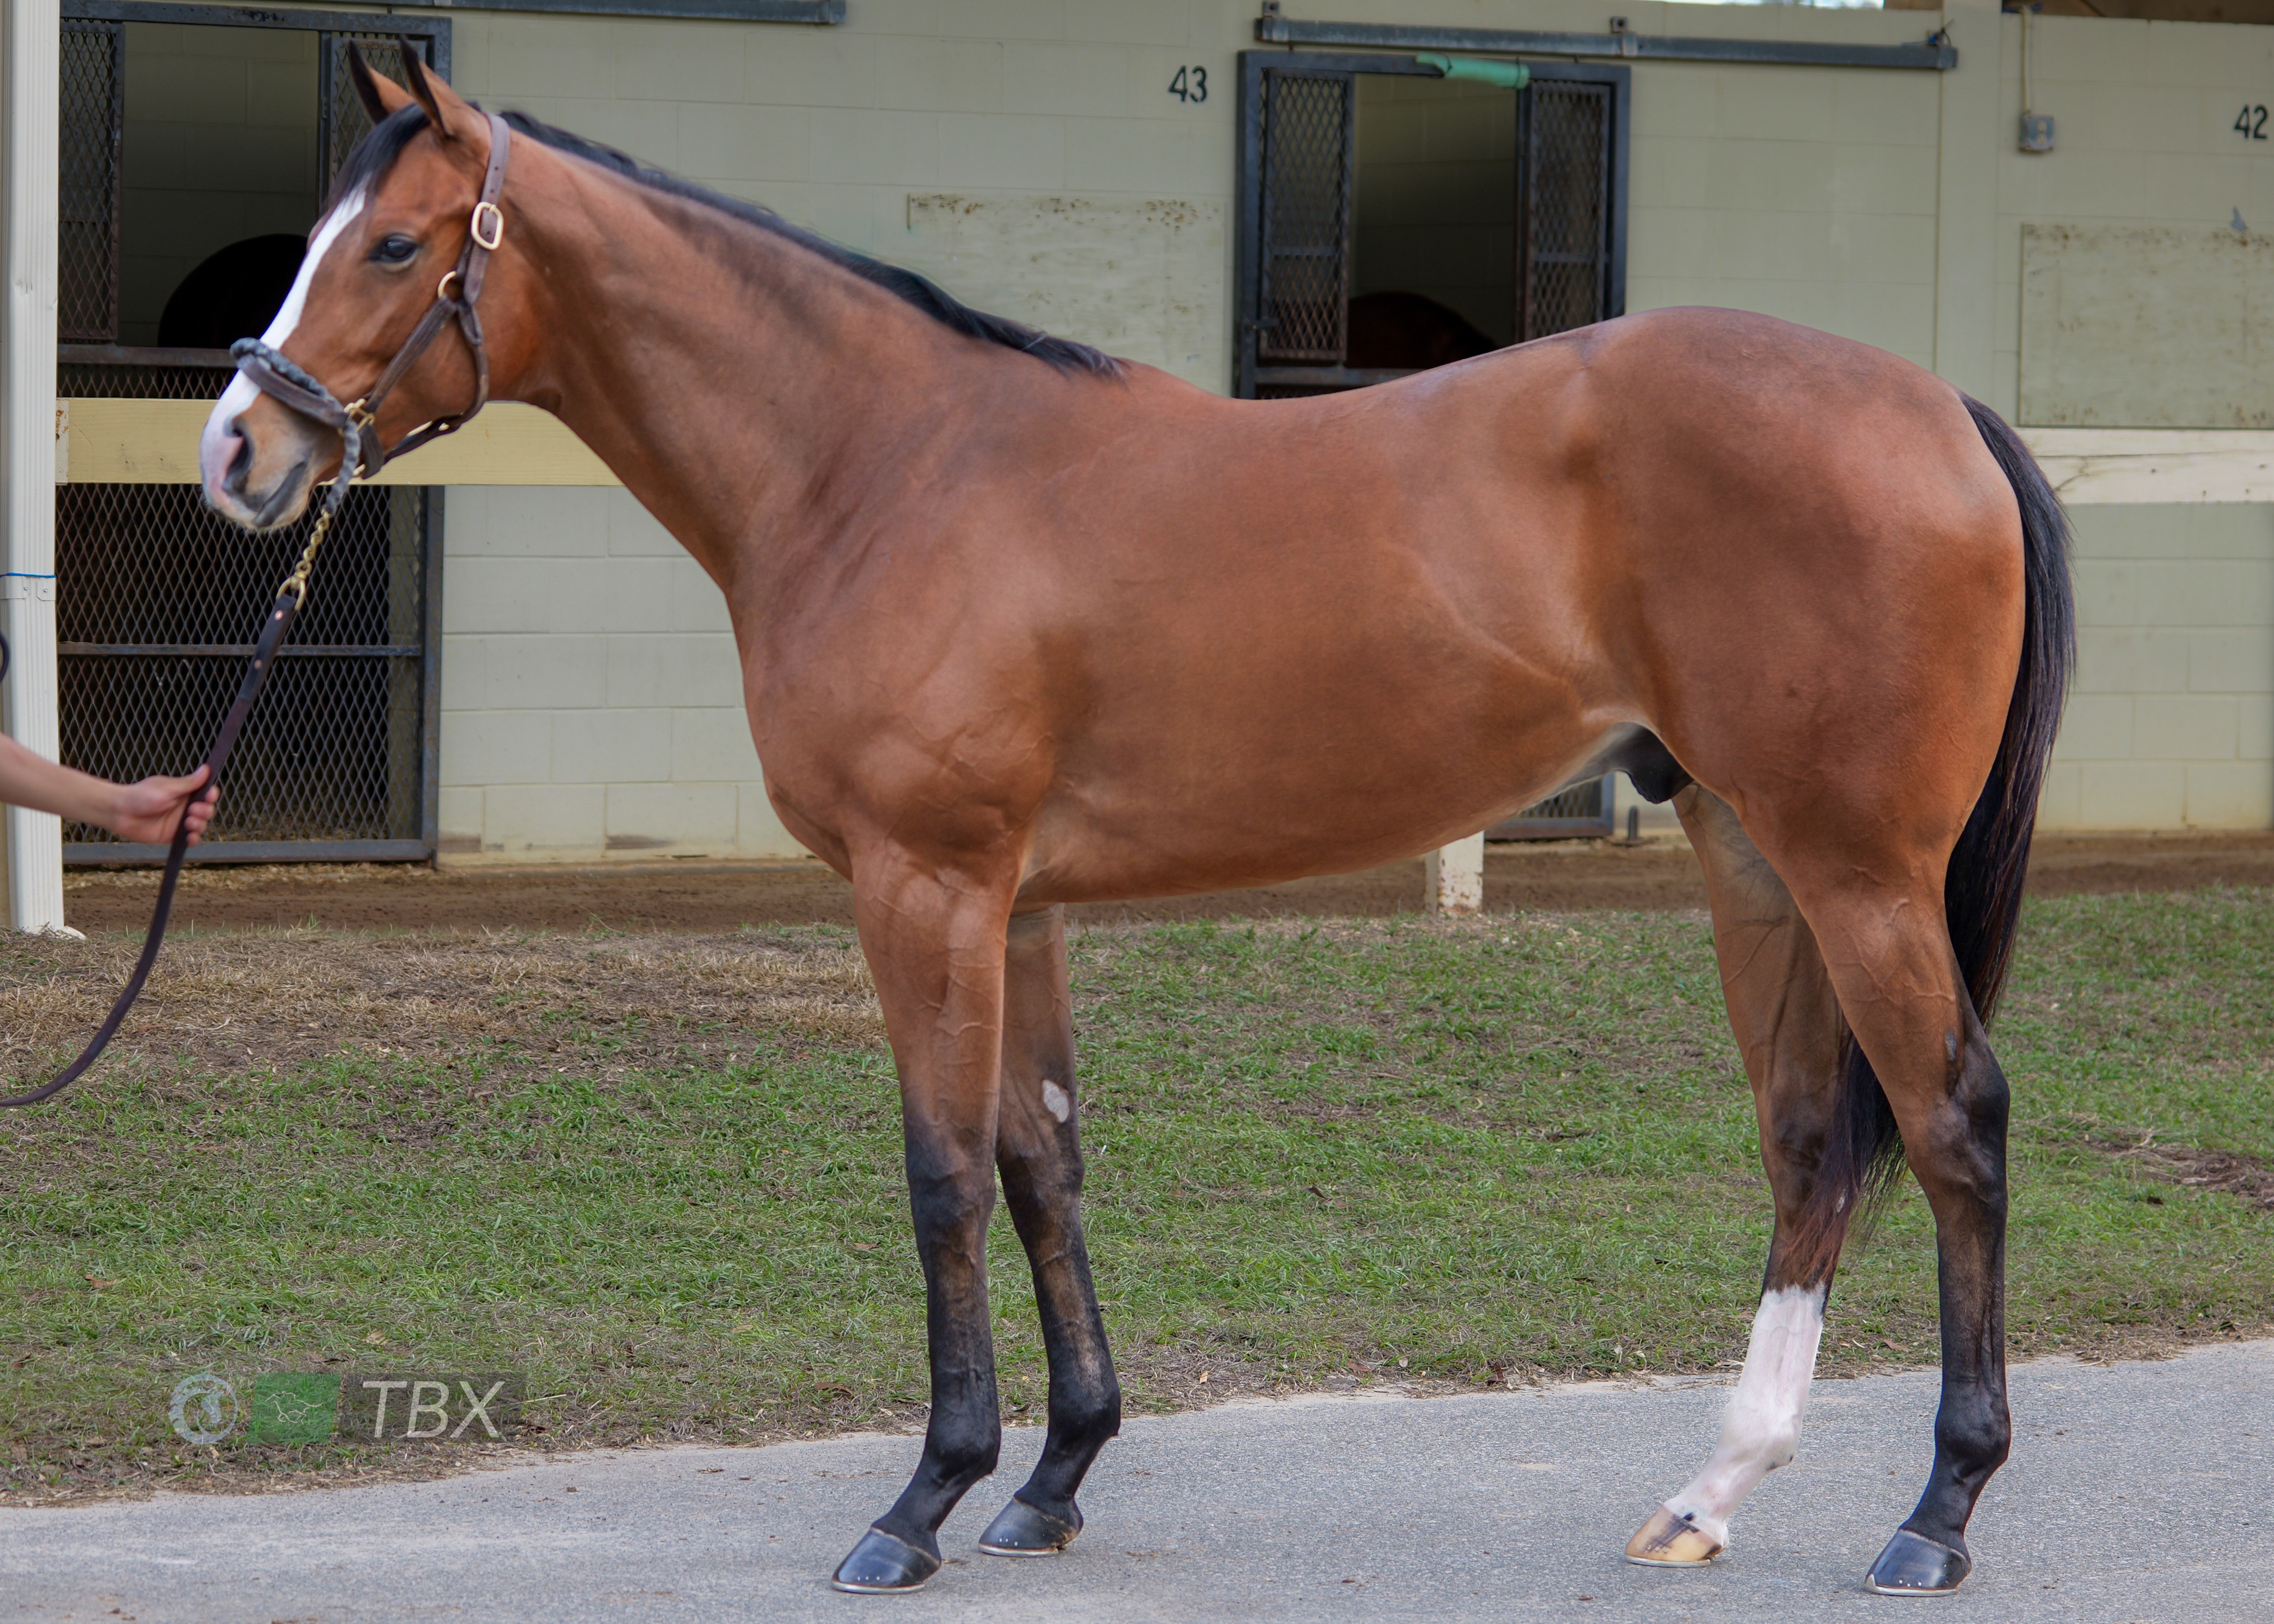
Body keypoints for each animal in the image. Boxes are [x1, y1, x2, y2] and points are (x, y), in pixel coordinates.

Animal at [197, 50, 2072, 1599]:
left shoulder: (927, 885)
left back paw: (1935, 1513)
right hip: (1754, 852)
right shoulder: (1017, 900)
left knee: (1953, 1122)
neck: (885, 467)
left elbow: (945, 1173)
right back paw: (1710, 1490)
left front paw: (920, 1501)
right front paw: (1052, 1476)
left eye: (393, 247)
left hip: (1858, 868)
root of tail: (1940, 407)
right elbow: (1043, 1158)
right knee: (1813, 1139)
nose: (237, 450)